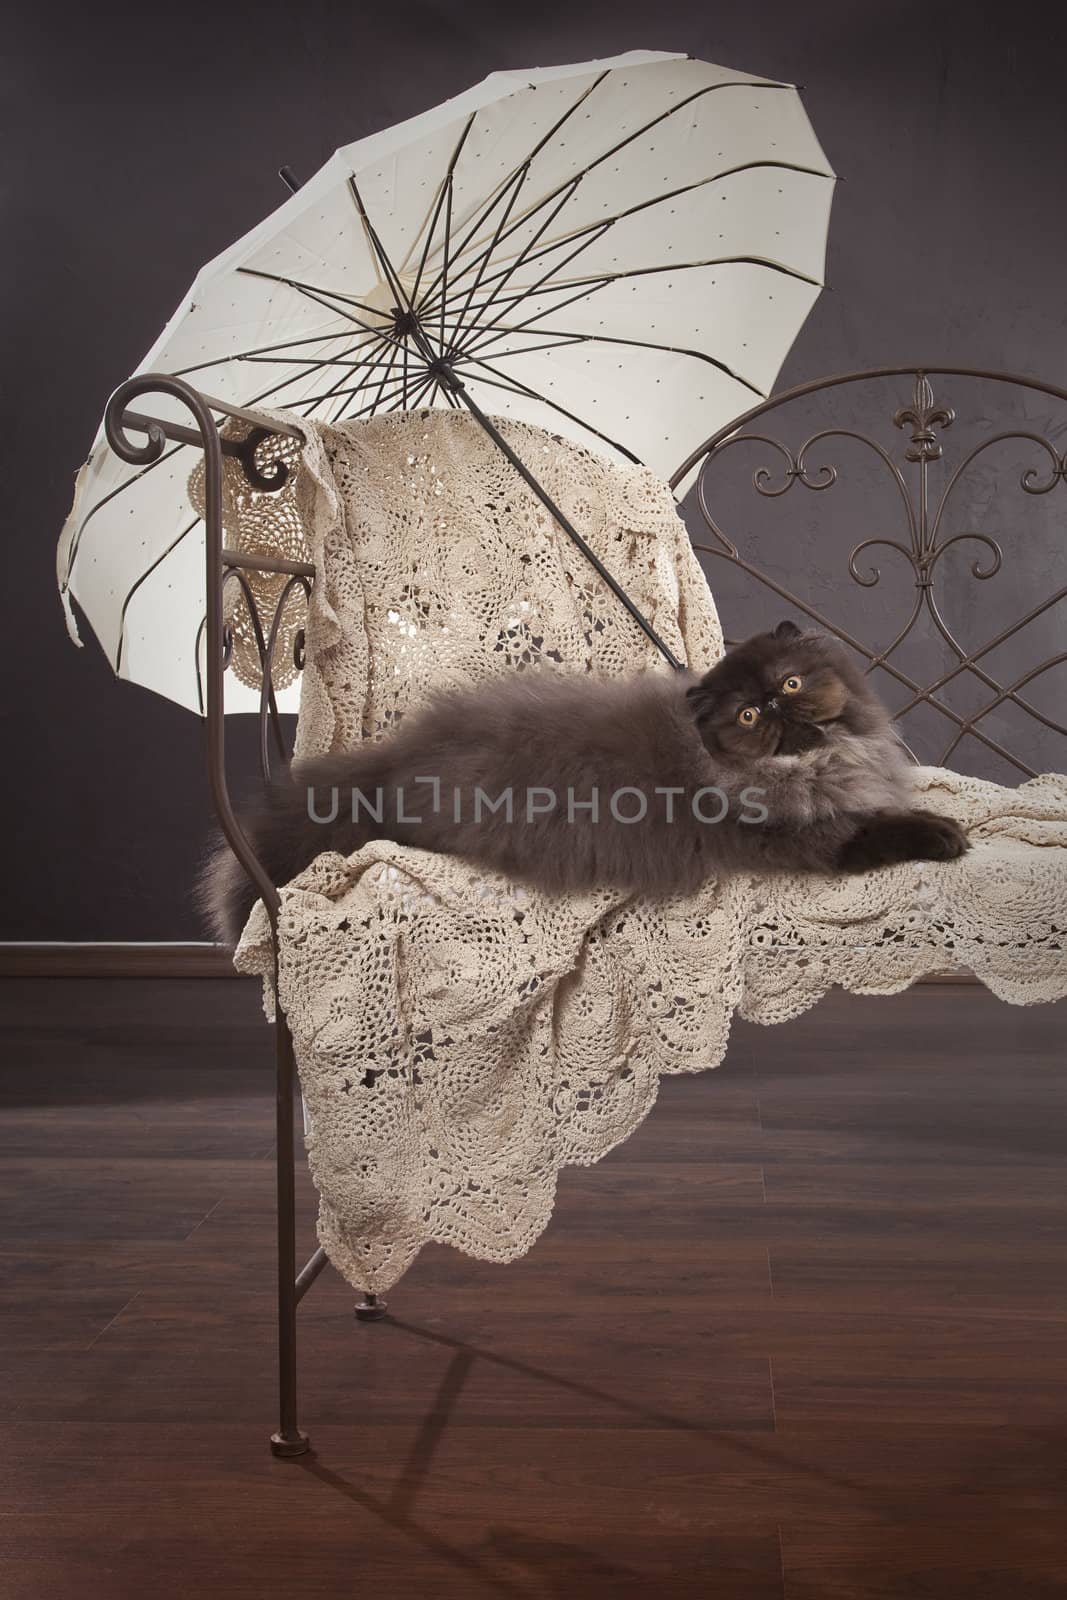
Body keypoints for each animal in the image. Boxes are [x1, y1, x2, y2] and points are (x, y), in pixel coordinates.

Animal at [199, 617, 966, 940]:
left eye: (791, 683)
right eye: (748, 715)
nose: (777, 707)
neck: (817, 765)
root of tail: (394, 757)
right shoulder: (808, 837)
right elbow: (882, 829)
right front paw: (943, 835)